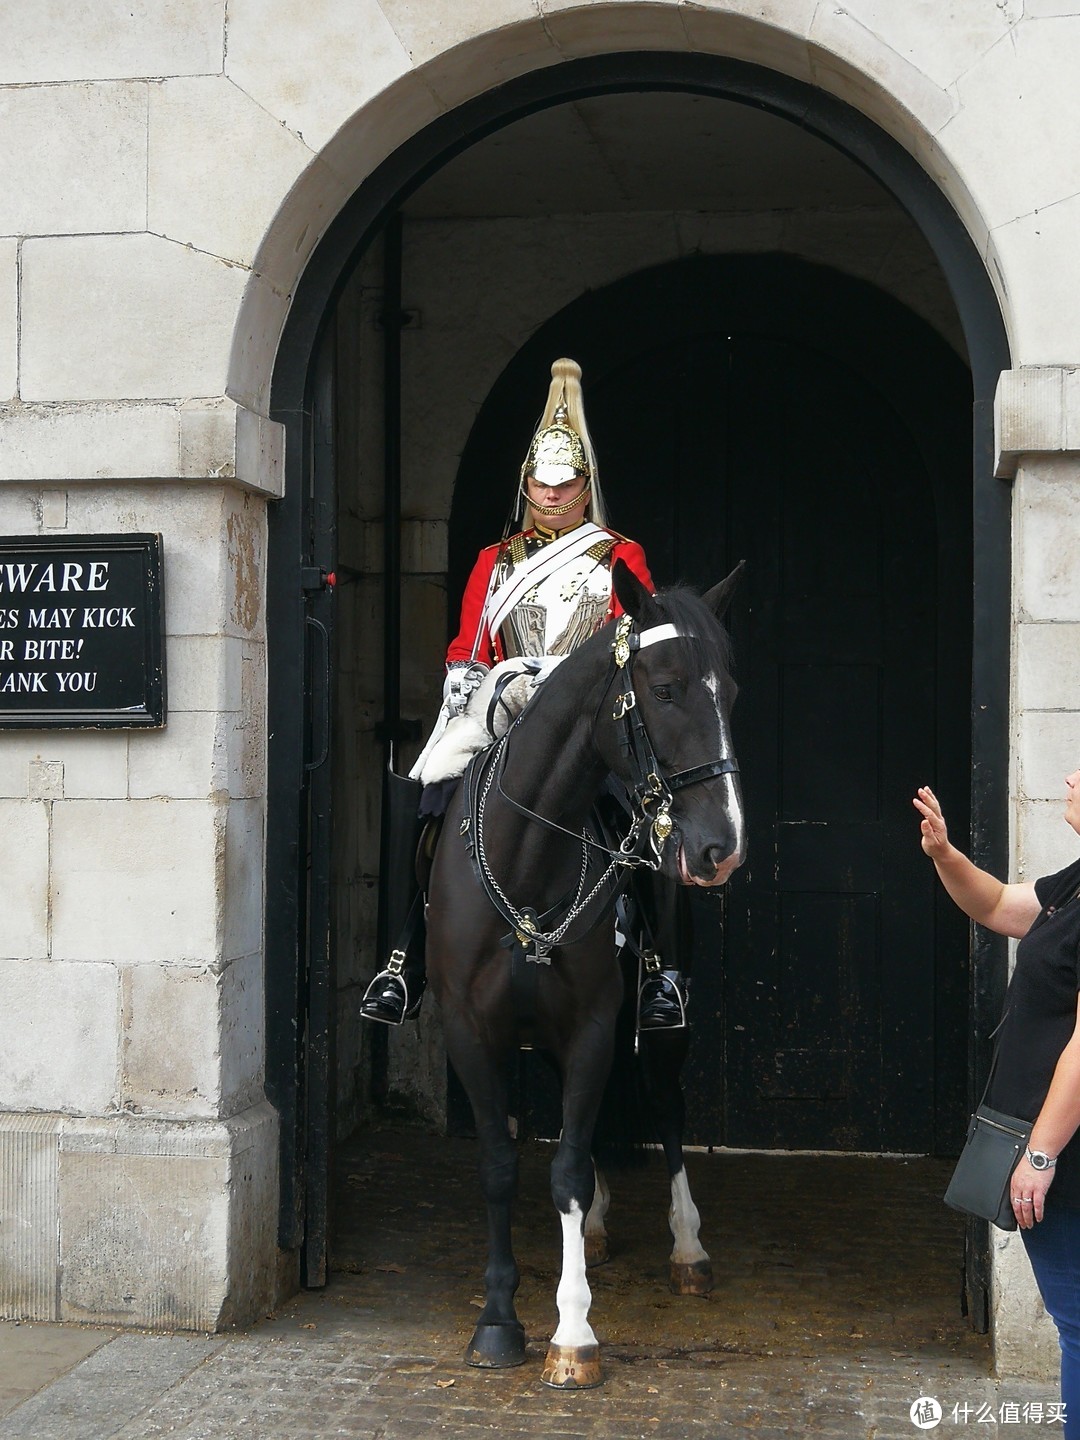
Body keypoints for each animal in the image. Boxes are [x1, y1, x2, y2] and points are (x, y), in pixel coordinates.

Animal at [426, 558, 743, 1382]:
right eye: (665, 689)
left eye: (728, 691)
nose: (722, 846)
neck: (526, 859)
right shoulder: (472, 1033)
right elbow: (502, 1165)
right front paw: (498, 1321)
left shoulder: (598, 1026)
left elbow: (564, 1168)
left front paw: (572, 1334)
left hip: (659, 1028)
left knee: (665, 1108)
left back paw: (687, 1248)